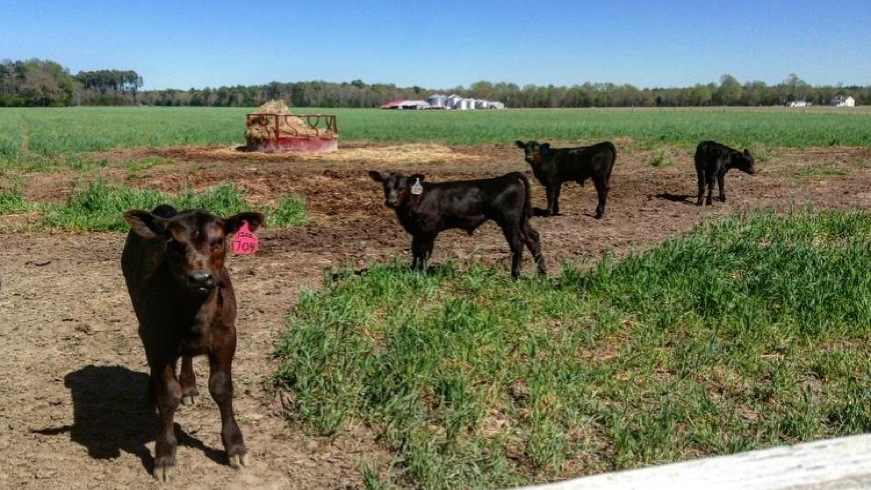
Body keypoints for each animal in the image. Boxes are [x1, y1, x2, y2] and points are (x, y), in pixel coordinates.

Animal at [118, 205, 266, 480]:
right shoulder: (157, 340)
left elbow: (222, 387)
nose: (200, 278)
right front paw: (165, 456)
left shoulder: (227, 337)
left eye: (219, 241)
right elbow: (168, 395)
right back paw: (152, 391)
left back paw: (189, 387)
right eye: (173, 242)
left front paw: (235, 447)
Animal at [368, 169, 544, 278]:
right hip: (521, 219)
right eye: (386, 187)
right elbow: (415, 251)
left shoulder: (428, 229)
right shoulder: (417, 231)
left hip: (509, 219)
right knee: (532, 238)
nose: (391, 202)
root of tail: (507, 177)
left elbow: (424, 251)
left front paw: (420, 274)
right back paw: (543, 273)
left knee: (517, 242)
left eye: (402, 188)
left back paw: (515, 275)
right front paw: (412, 270)